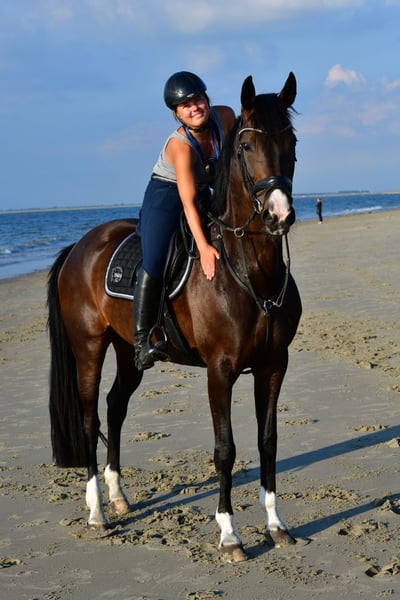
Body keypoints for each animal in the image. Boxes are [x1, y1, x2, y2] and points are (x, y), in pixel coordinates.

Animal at [47, 72, 302, 562]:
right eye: (245, 146)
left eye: (292, 141)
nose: (279, 214)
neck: (248, 271)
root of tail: (80, 246)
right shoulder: (220, 371)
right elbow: (225, 449)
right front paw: (229, 535)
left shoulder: (274, 365)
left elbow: (269, 441)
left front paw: (276, 525)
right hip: (89, 348)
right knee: (90, 420)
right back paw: (96, 512)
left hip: (129, 351)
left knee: (115, 407)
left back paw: (118, 496)